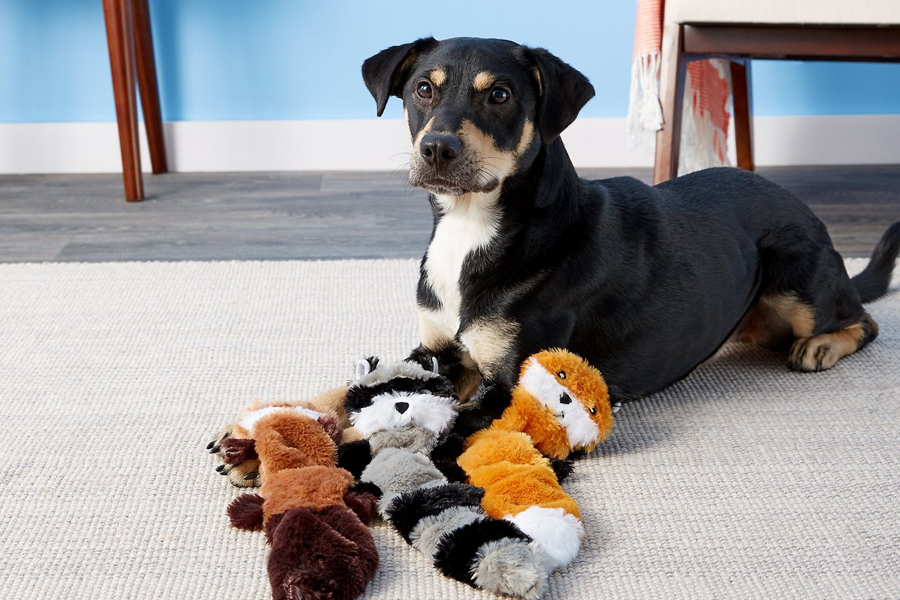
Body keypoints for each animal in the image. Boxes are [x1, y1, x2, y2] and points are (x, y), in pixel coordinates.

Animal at [360, 36, 900, 404]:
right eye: (423, 90)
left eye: (499, 96)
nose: (437, 149)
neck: (474, 227)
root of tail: (805, 211)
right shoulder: (438, 352)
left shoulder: (515, 381)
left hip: (795, 279)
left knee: (865, 322)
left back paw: (821, 346)